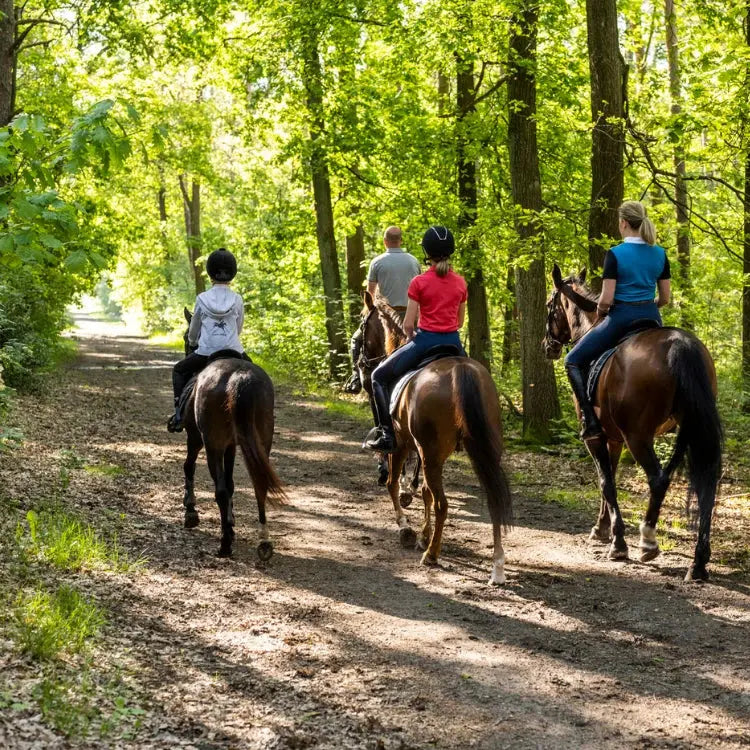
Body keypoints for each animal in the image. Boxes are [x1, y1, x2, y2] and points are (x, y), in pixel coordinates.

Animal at [181, 308, 286, 560]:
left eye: (185, 337)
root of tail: (239, 378)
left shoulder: (196, 438)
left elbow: (190, 467)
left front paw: (191, 511)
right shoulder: (231, 446)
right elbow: (231, 484)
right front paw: (230, 521)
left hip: (212, 443)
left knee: (219, 489)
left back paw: (225, 545)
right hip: (261, 440)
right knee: (259, 485)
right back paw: (264, 542)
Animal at [372, 302, 516, 584]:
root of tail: (460, 370)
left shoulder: (402, 444)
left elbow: (395, 485)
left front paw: (406, 528)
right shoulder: (425, 453)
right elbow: (424, 490)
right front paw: (423, 534)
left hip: (428, 452)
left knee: (442, 504)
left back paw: (431, 555)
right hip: (480, 450)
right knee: (493, 499)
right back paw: (497, 567)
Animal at [544, 268, 724, 584]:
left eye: (548, 306)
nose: (547, 346)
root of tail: (680, 344)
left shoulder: (596, 437)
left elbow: (606, 481)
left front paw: (617, 542)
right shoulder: (614, 438)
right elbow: (609, 478)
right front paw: (601, 529)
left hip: (638, 437)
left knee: (658, 479)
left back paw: (648, 541)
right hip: (689, 427)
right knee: (704, 483)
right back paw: (698, 563)